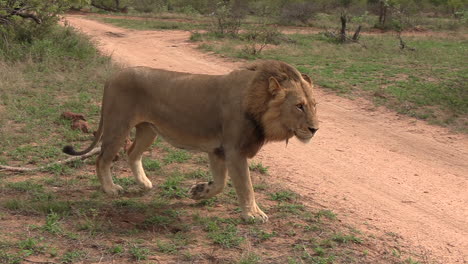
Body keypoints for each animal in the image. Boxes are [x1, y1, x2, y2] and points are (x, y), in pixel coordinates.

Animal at [63, 60, 318, 223]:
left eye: (314, 105)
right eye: (299, 106)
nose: (314, 129)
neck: (260, 106)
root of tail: (112, 76)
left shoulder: (218, 150)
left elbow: (221, 183)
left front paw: (198, 191)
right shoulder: (234, 150)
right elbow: (246, 186)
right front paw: (253, 215)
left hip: (148, 130)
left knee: (132, 153)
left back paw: (144, 184)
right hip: (118, 125)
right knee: (102, 159)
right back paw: (110, 188)